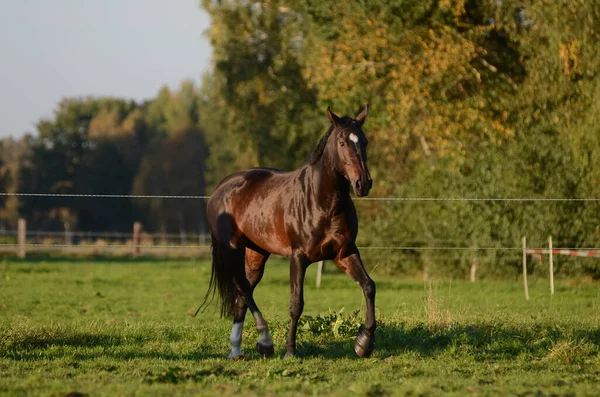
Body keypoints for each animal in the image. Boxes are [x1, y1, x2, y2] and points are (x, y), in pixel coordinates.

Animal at [200, 103, 376, 358]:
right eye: (342, 142)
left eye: (364, 141)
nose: (363, 183)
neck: (322, 202)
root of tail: (221, 188)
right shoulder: (298, 257)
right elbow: (296, 304)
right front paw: (290, 351)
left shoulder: (345, 253)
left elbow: (369, 286)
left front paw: (364, 343)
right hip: (232, 249)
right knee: (243, 289)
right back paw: (264, 341)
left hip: (256, 253)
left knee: (244, 292)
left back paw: (237, 349)